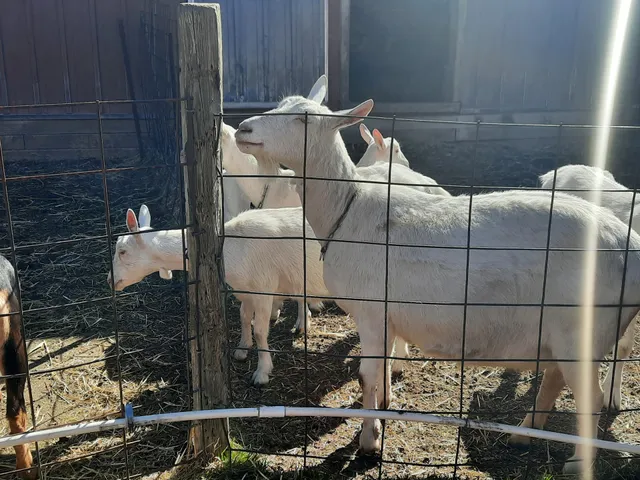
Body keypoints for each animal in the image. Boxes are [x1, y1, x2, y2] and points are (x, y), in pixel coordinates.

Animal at [106, 205, 331, 385]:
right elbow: (244, 317)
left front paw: (262, 372)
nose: (110, 280)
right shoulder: (246, 290)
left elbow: (259, 331)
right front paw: (242, 349)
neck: (232, 247)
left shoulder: (262, 289)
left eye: (122, 251)